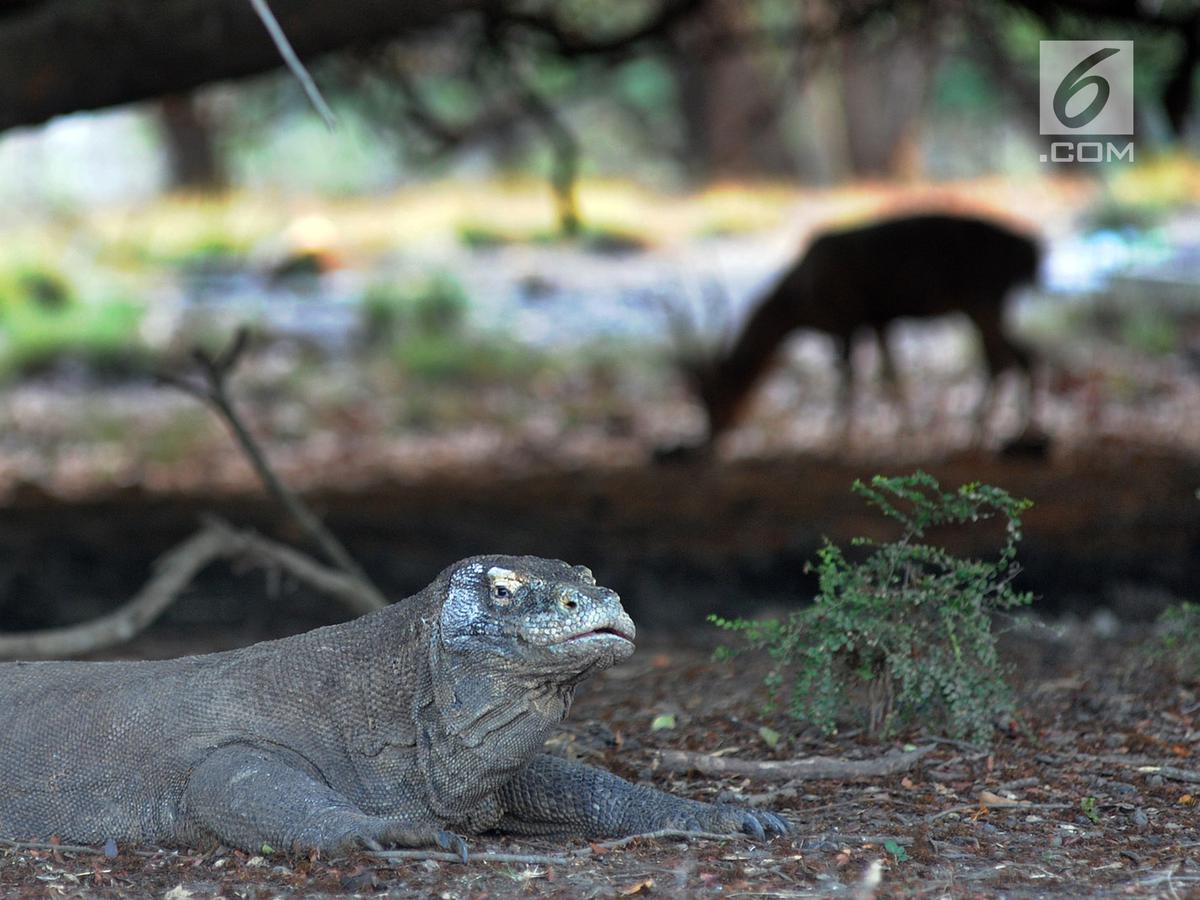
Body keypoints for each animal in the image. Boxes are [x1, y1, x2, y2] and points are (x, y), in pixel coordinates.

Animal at [686, 214, 1041, 448]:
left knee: (1004, 358)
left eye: (713, 394)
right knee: (1021, 355)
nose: (712, 435)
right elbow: (889, 373)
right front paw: (908, 432)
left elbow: (849, 379)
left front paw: (840, 438)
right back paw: (1019, 431)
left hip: (983, 298)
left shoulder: (846, 321)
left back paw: (981, 431)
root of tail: (1030, 252)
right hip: (985, 304)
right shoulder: (877, 321)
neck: (800, 307)